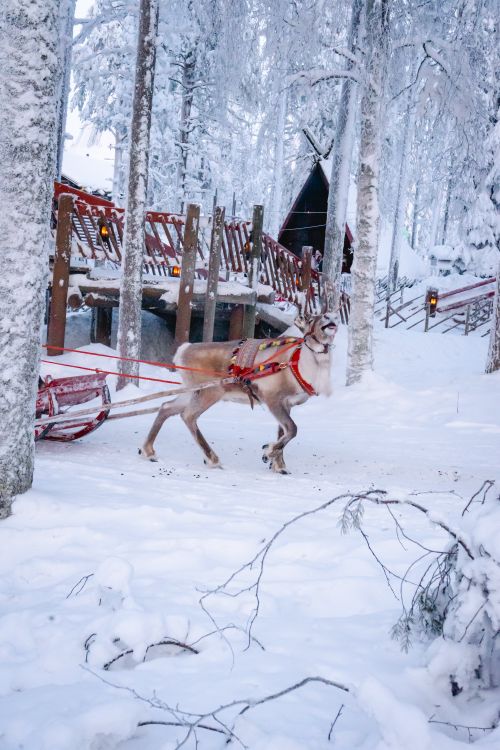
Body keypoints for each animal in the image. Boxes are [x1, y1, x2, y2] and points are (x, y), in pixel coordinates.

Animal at [140, 304, 338, 474]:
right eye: (311, 319)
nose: (331, 316)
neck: (297, 364)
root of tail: (183, 350)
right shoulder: (272, 399)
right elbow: (292, 429)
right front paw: (267, 453)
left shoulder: (287, 404)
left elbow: (283, 433)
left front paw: (279, 466)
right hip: (210, 392)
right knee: (188, 415)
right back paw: (213, 459)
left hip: (190, 391)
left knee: (165, 407)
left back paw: (148, 451)